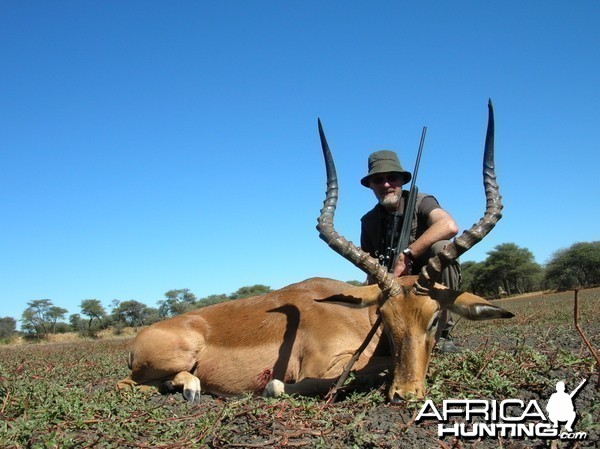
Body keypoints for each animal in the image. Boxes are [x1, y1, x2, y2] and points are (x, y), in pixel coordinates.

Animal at [118, 102, 516, 402]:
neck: (358, 318)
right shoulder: (323, 367)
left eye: (434, 319)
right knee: (127, 384)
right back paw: (191, 388)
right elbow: (337, 377)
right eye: (385, 320)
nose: (404, 394)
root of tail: (143, 336)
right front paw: (273, 387)